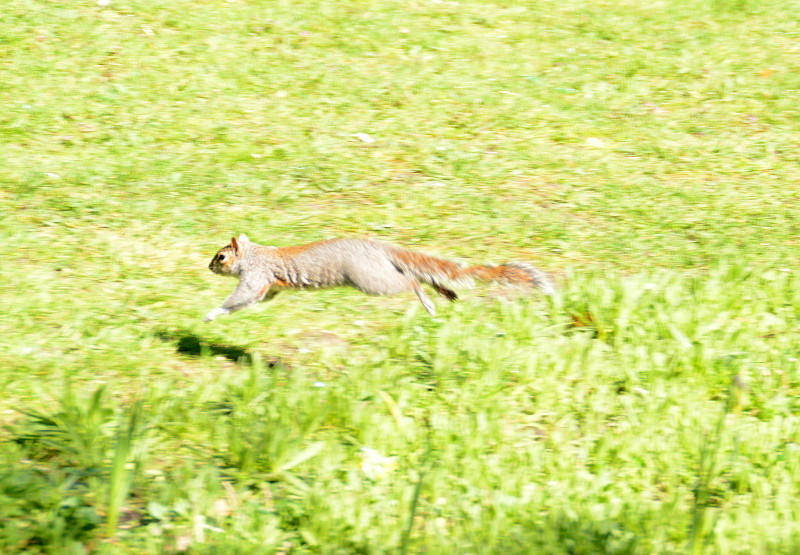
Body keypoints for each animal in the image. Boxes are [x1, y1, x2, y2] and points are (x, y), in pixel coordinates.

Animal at [205, 233, 556, 322]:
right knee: (419, 276)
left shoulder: (255, 276)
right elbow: (257, 299)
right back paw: (443, 292)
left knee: (411, 281)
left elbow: (241, 296)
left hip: (370, 279)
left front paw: (212, 314)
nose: (208, 267)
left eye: (221, 257)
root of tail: (378, 247)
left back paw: (429, 302)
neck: (254, 254)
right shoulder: (269, 285)